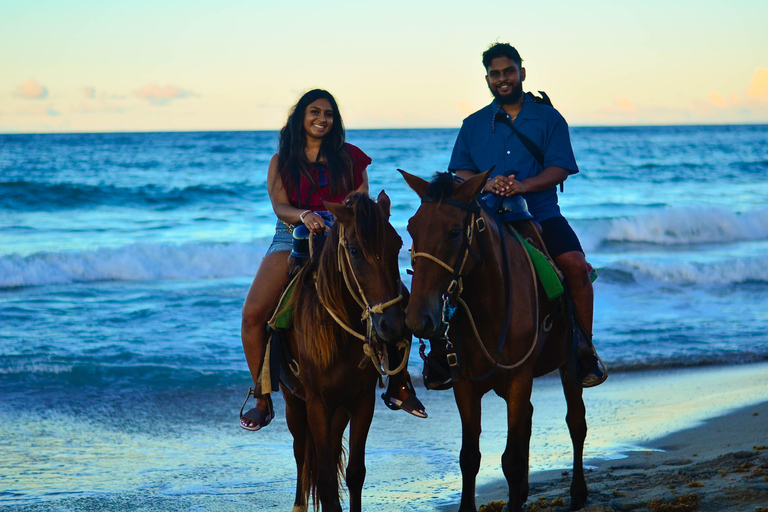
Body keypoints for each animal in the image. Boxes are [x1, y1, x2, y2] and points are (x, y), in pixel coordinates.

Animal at [280, 192, 412, 512]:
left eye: (397, 244)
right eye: (354, 250)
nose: (392, 325)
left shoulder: (362, 402)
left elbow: (354, 473)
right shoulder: (317, 404)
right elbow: (326, 481)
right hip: (294, 403)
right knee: (301, 453)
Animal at [402, 171, 588, 512]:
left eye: (454, 231)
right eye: (411, 228)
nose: (418, 318)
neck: (490, 305)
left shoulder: (518, 378)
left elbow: (511, 460)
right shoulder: (464, 384)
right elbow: (469, 457)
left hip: (569, 366)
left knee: (575, 422)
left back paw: (578, 492)